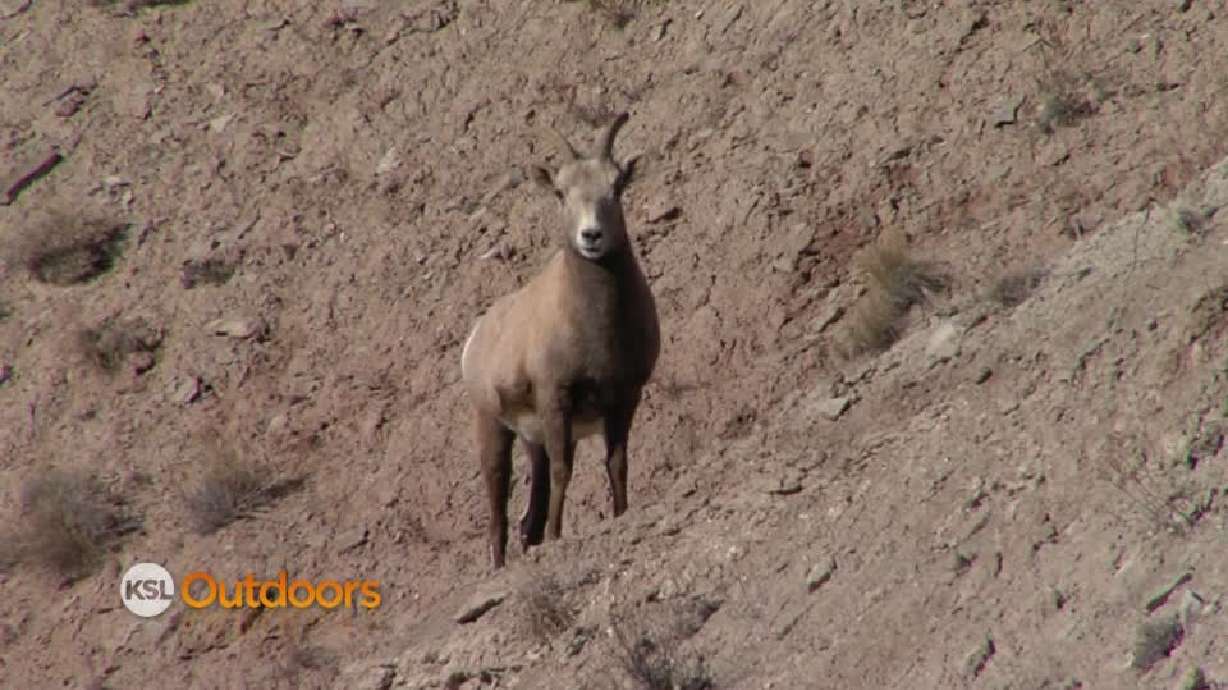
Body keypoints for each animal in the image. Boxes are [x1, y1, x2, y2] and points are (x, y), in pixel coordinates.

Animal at [460, 112, 660, 569]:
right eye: (560, 192)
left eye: (616, 186)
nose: (591, 236)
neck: (596, 329)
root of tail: (475, 339)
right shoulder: (557, 400)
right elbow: (564, 470)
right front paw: (557, 538)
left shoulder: (625, 398)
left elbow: (616, 464)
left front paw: (620, 514)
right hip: (492, 427)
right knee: (498, 512)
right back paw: (500, 567)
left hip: (531, 438)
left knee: (526, 517)